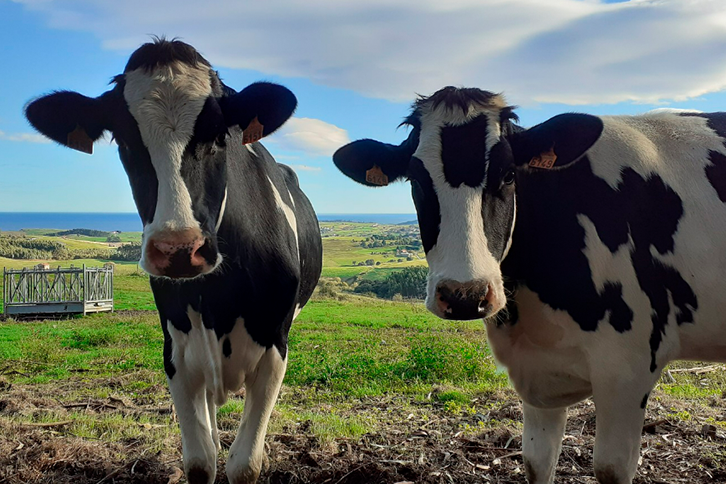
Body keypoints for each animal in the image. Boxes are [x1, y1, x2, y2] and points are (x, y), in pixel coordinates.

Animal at [26, 38, 322, 484]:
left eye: (219, 135)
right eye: (124, 141)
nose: (178, 249)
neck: (219, 298)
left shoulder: (274, 348)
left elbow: (244, 465)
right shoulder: (177, 352)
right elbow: (201, 461)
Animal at [334, 88, 726, 484]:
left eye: (509, 175)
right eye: (415, 181)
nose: (464, 296)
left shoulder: (628, 370)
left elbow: (610, 467)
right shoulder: (536, 374)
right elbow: (537, 461)